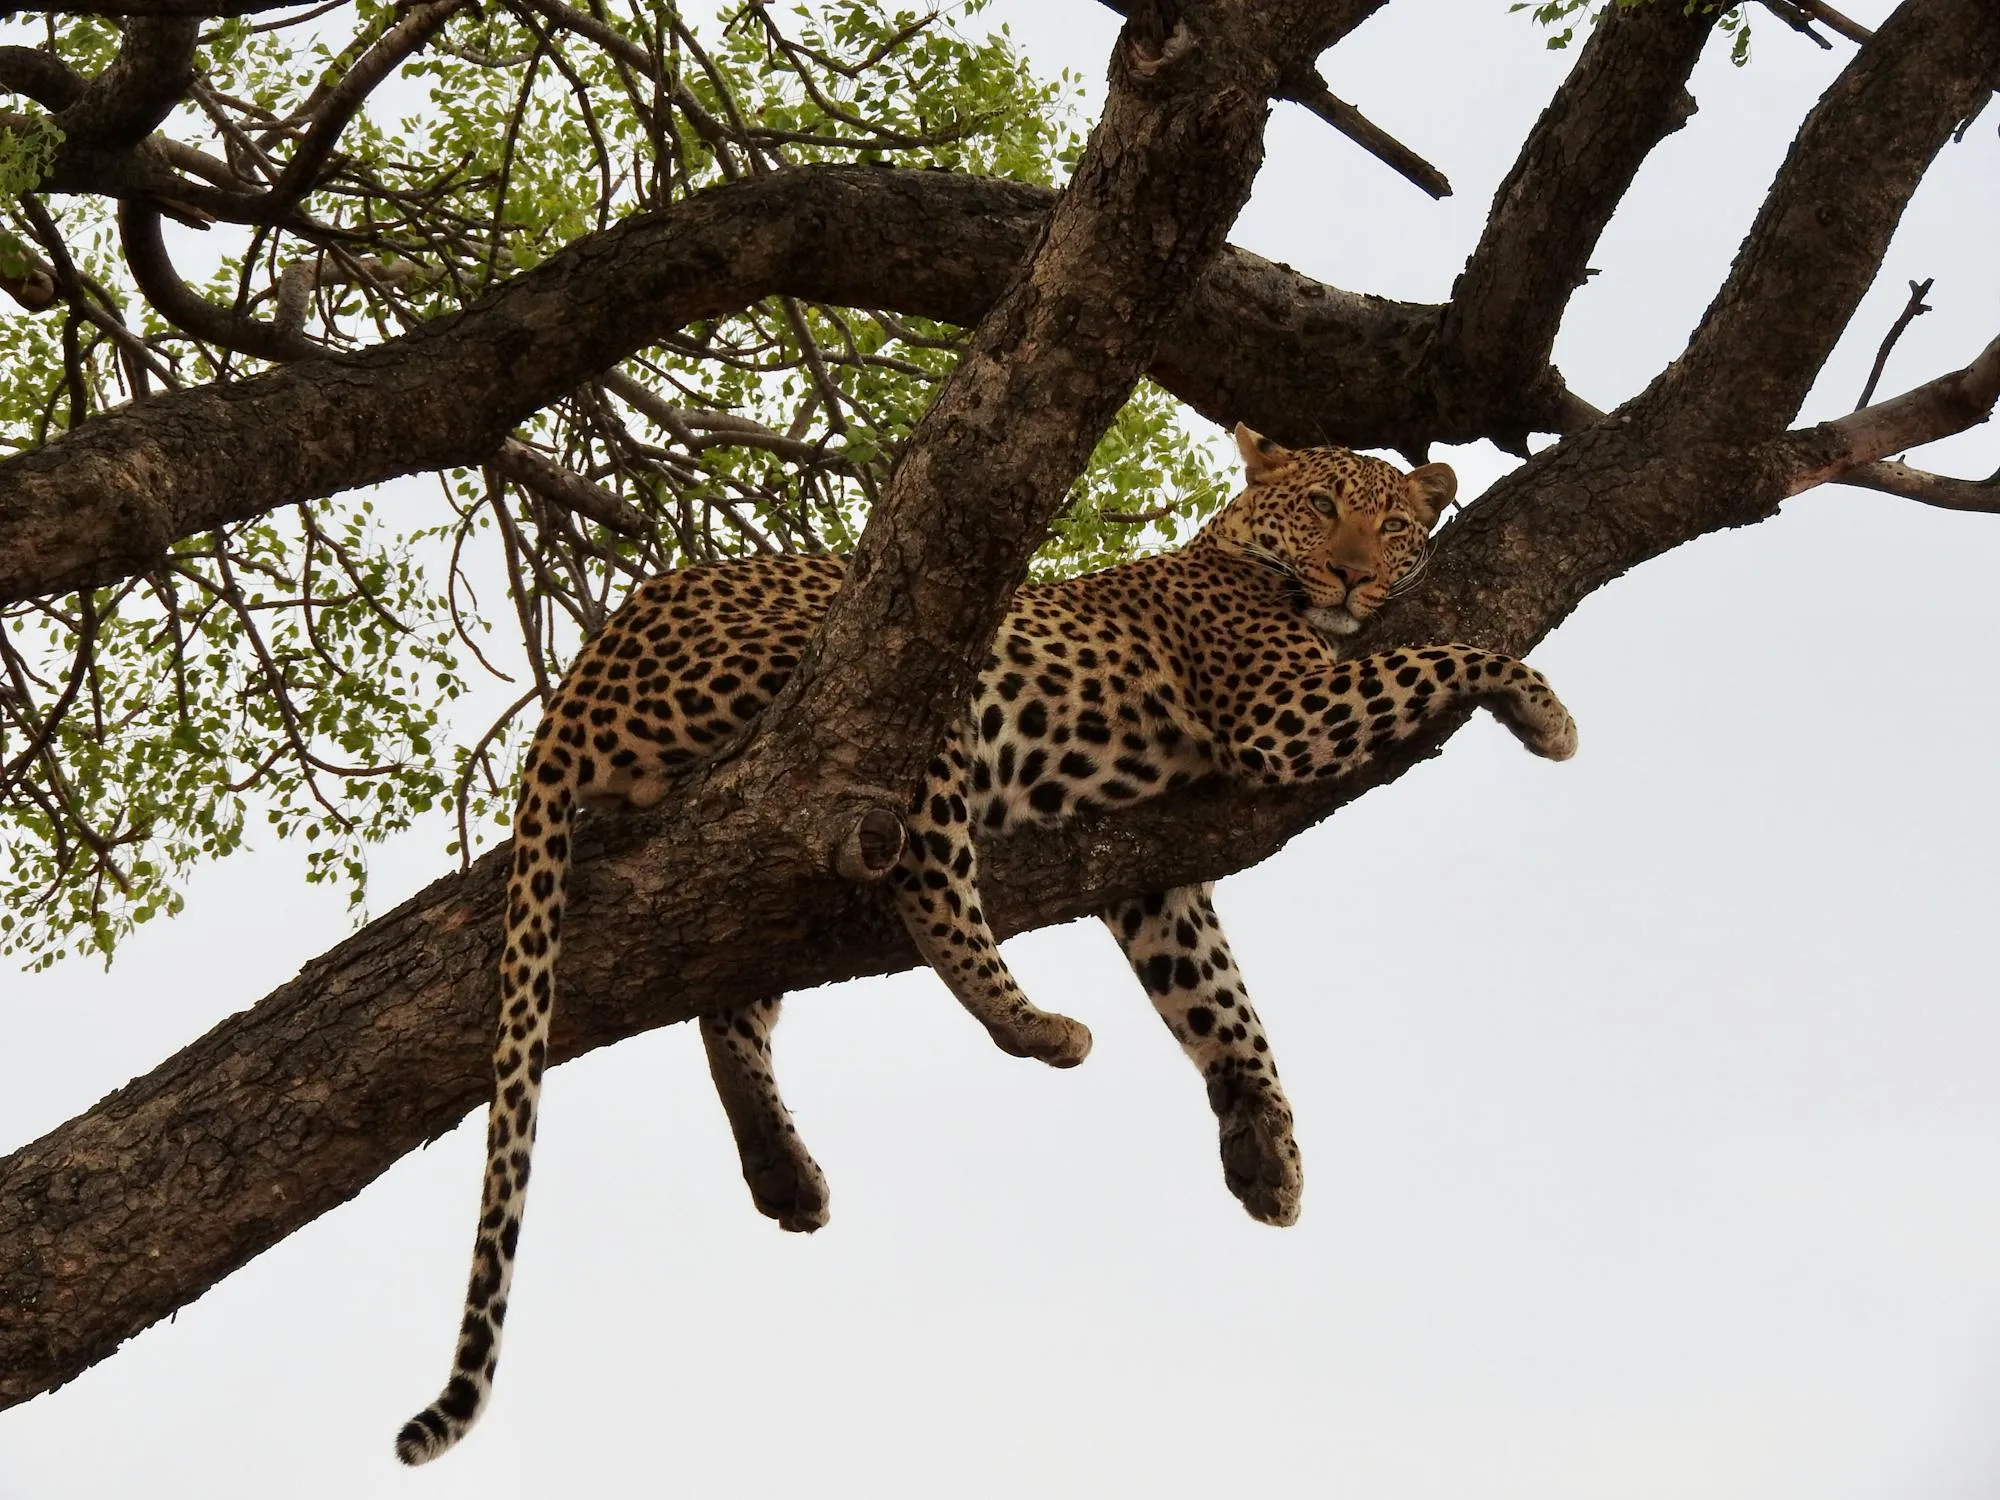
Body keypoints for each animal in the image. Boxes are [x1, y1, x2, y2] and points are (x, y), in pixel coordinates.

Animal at [396, 423, 1577, 1464]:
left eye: (1392, 524)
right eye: (1323, 508)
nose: (1348, 576)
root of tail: (585, 671)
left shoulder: (1158, 877)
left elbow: (1219, 1002)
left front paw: (1266, 1153)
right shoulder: (1283, 712)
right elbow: (1450, 650)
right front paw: (1547, 714)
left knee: (730, 995)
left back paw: (783, 1169)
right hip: (918, 695)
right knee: (927, 884)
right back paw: (1036, 1025)